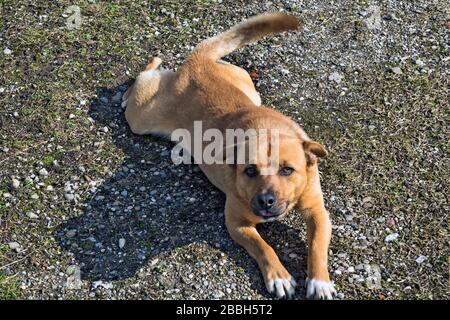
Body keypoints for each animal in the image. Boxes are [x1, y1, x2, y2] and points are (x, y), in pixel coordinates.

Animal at [123, 11, 338, 298]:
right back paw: (136, 84)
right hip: (142, 116)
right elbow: (262, 247)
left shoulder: (318, 212)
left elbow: (317, 246)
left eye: (287, 169)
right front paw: (279, 275)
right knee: (145, 75)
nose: (266, 201)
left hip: (249, 89)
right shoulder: (236, 222)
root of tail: (197, 62)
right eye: (250, 170)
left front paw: (319, 280)